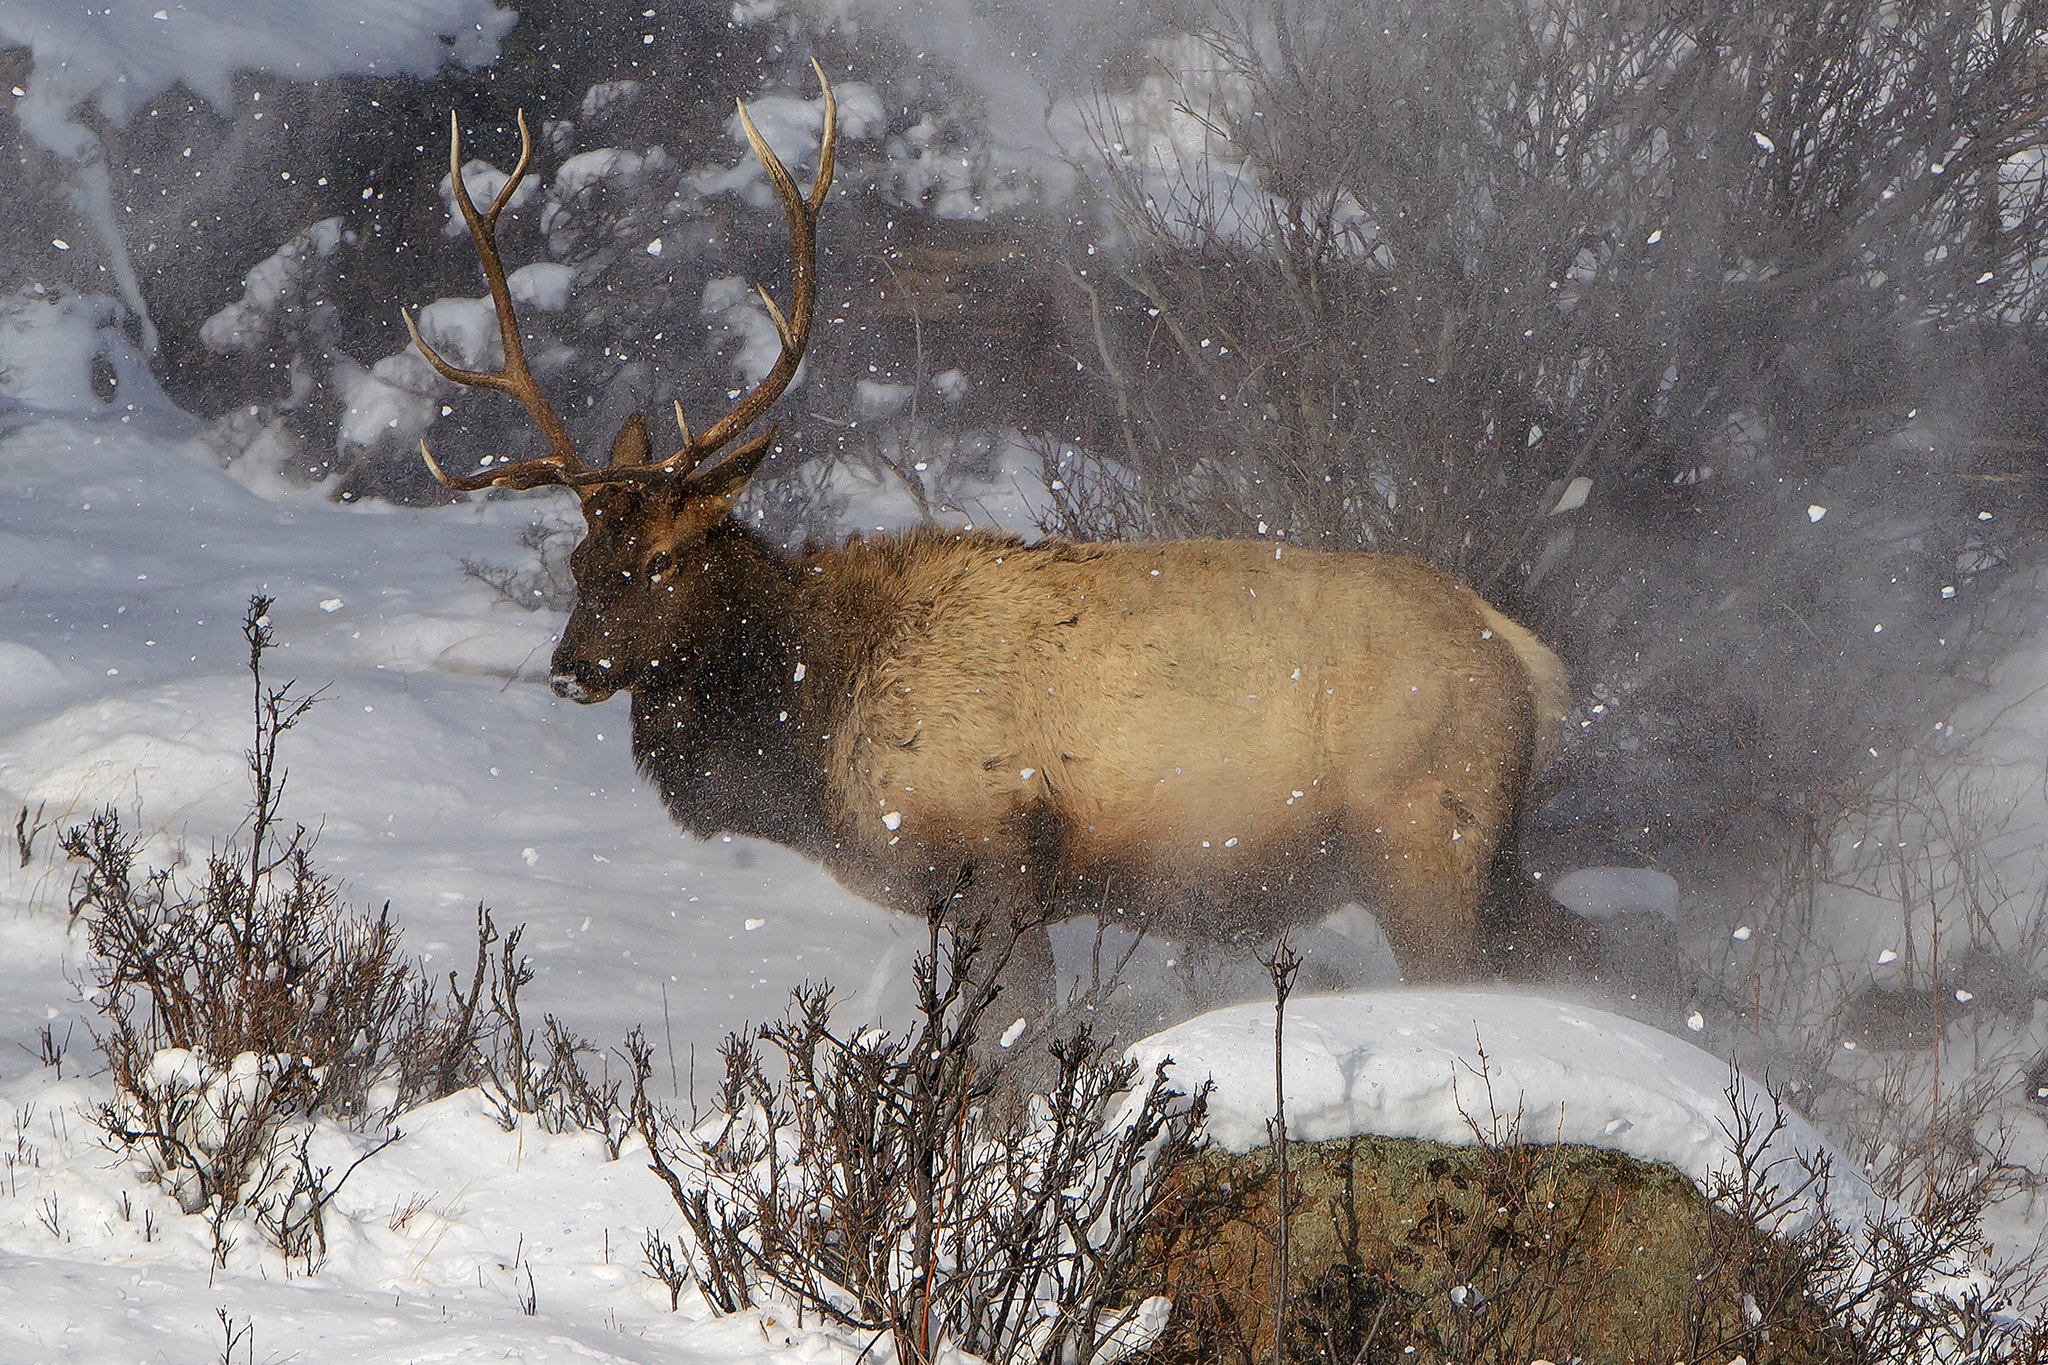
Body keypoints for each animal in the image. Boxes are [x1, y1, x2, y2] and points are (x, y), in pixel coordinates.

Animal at [411, 63, 1564, 1002]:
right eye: (578, 557)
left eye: (660, 558)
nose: (570, 665)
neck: (810, 726)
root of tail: (1525, 657)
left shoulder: (992, 858)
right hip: (1490, 855)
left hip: (1424, 837)